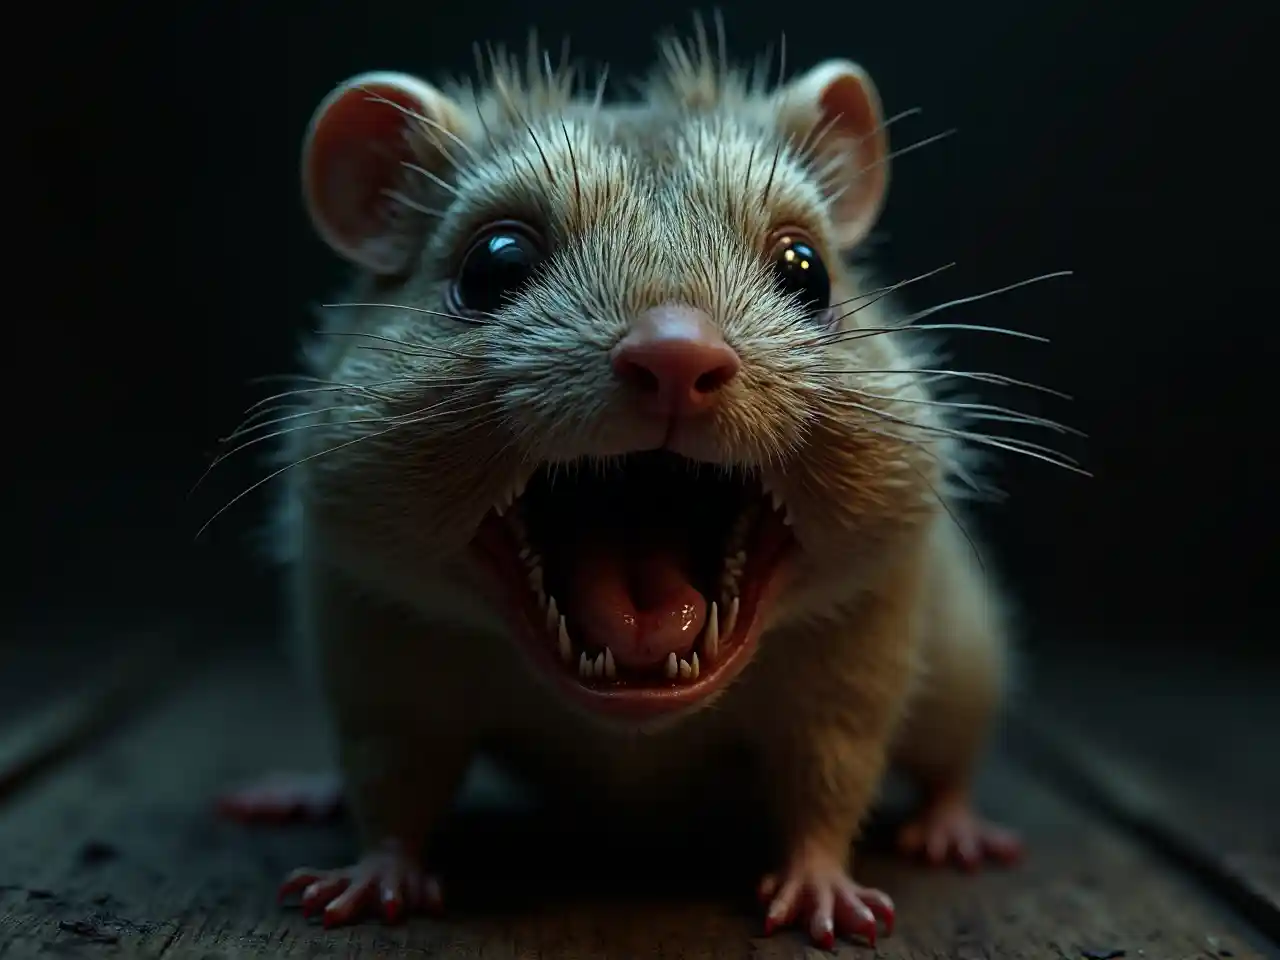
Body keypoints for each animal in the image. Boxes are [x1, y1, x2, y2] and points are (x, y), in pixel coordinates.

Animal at [219, 26, 1038, 950]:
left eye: (807, 270)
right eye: (493, 263)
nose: (677, 357)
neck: (637, 728)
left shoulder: (853, 656)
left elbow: (830, 778)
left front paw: (825, 891)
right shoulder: (380, 647)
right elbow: (390, 779)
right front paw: (374, 876)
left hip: (967, 667)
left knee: (948, 761)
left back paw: (954, 828)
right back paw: (298, 792)